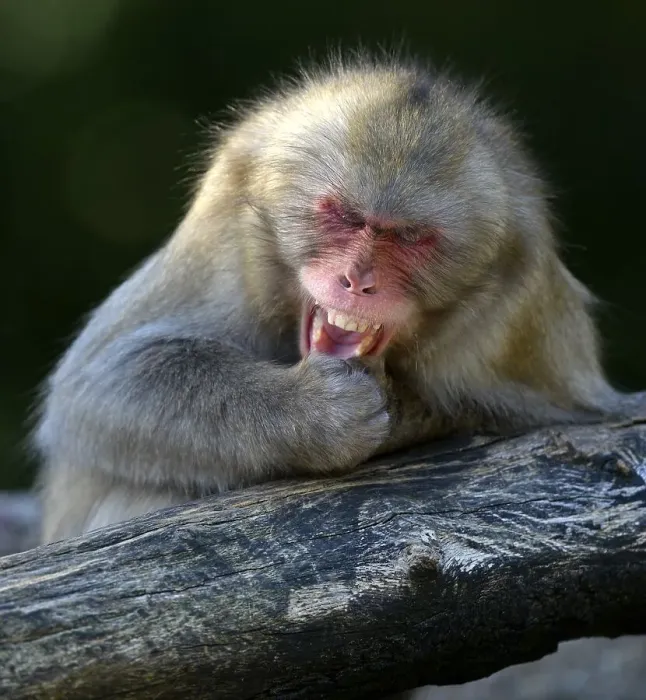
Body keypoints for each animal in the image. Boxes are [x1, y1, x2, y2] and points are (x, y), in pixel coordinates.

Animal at [33, 52, 620, 544]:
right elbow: (100, 388)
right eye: (345, 216)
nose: (356, 280)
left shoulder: (514, 324)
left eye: (410, 238)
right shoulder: (224, 246)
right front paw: (313, 414)